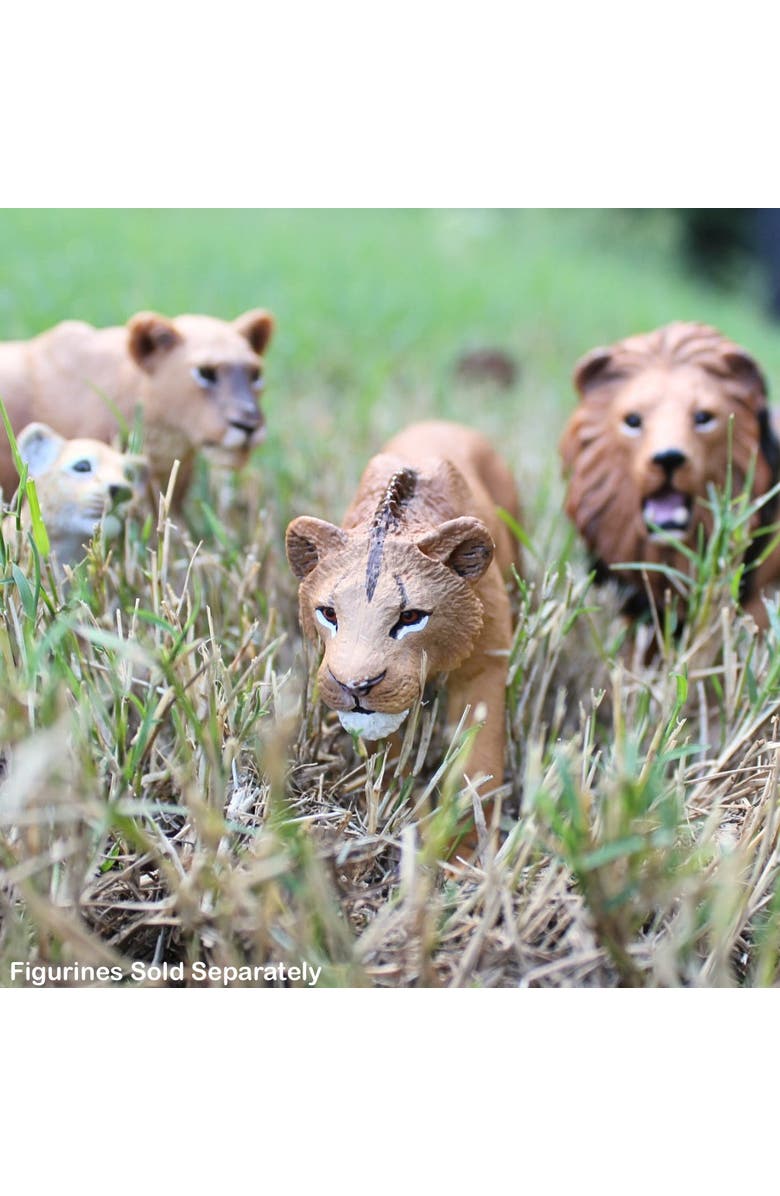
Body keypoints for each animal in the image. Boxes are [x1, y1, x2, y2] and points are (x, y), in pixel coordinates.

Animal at [286, 421, 522, 846]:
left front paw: (467, 847)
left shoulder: (486, 663)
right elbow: (391, 767)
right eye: (328, 613)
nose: (355, 687)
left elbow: (478, 763)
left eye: (410, 616)